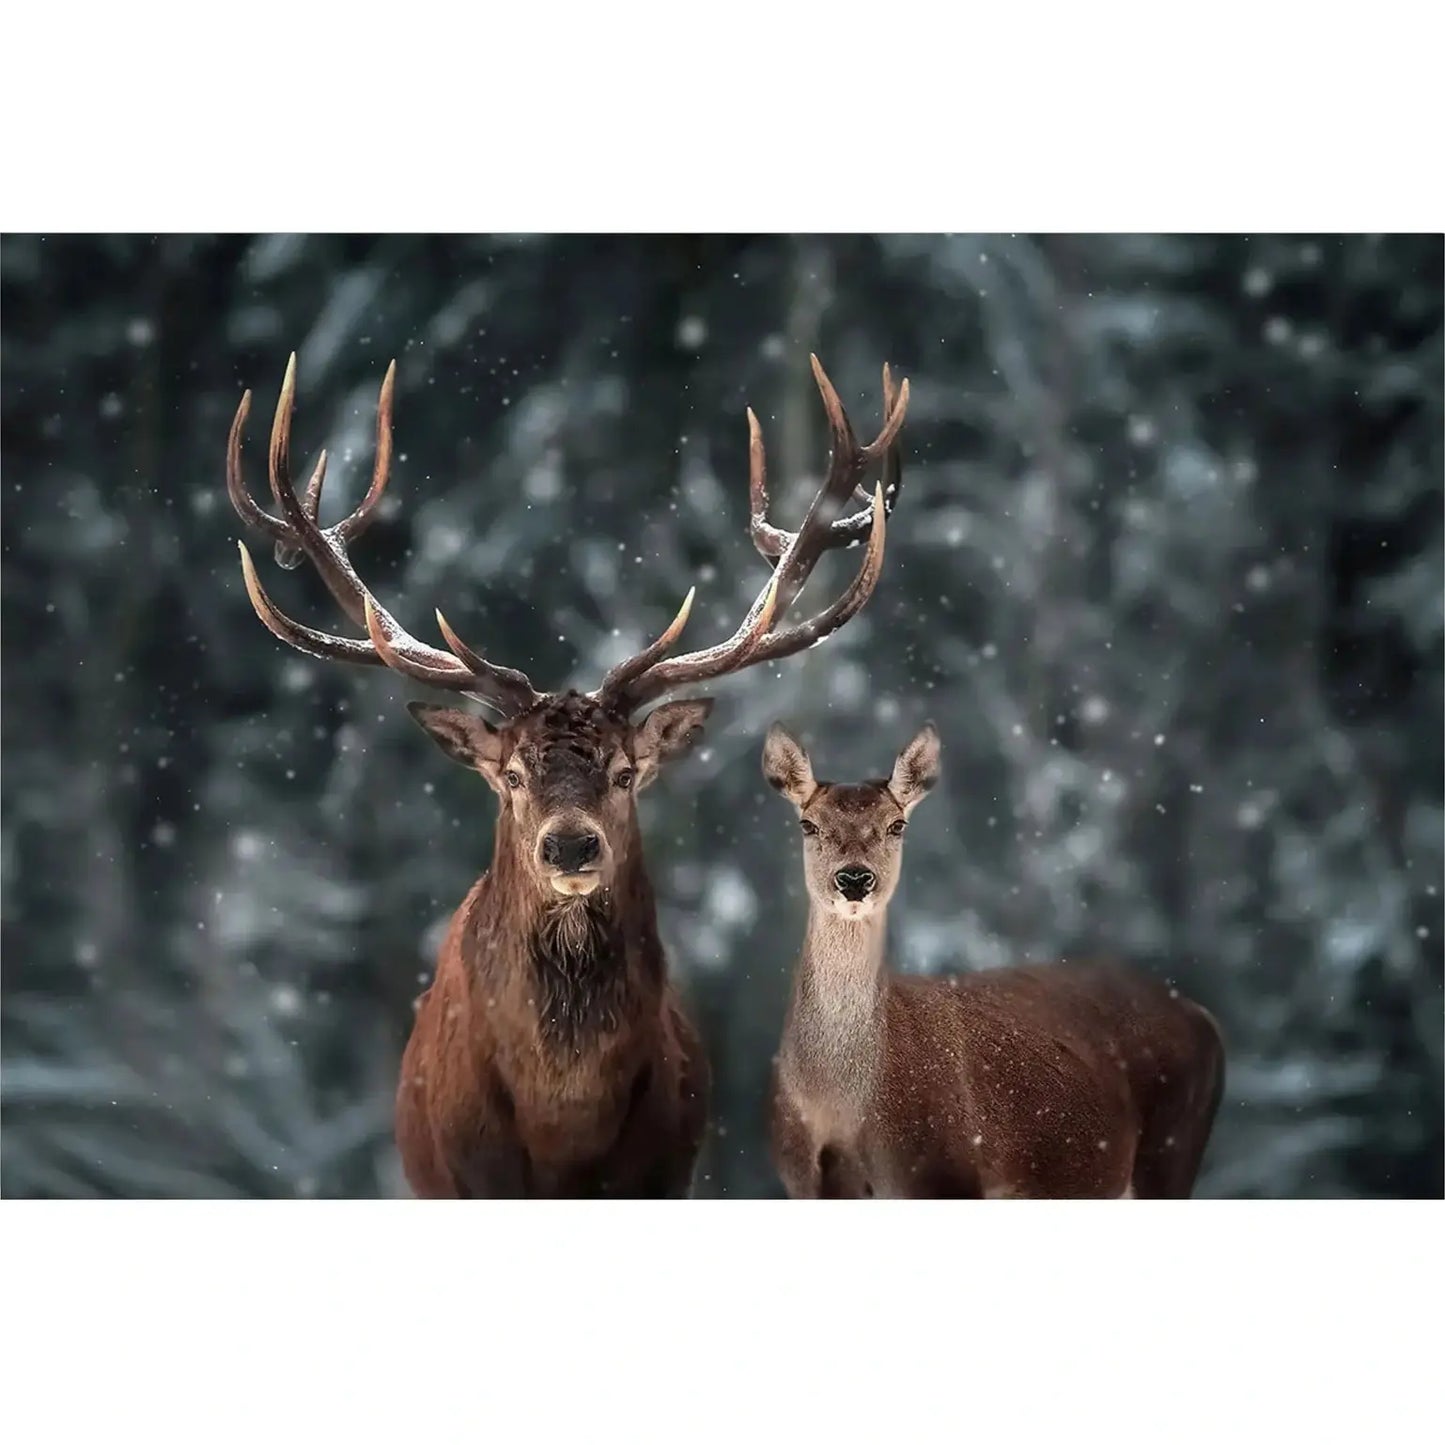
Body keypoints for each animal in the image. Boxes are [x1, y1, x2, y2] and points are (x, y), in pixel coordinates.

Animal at [762, 724, 1226, 1199]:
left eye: (897, 824)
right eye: (808, 824)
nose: (854, 878)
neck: (840, 1105)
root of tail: (1203, 1015)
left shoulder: (945, 1172)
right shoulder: (802, 1182)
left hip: (1172, 1147)